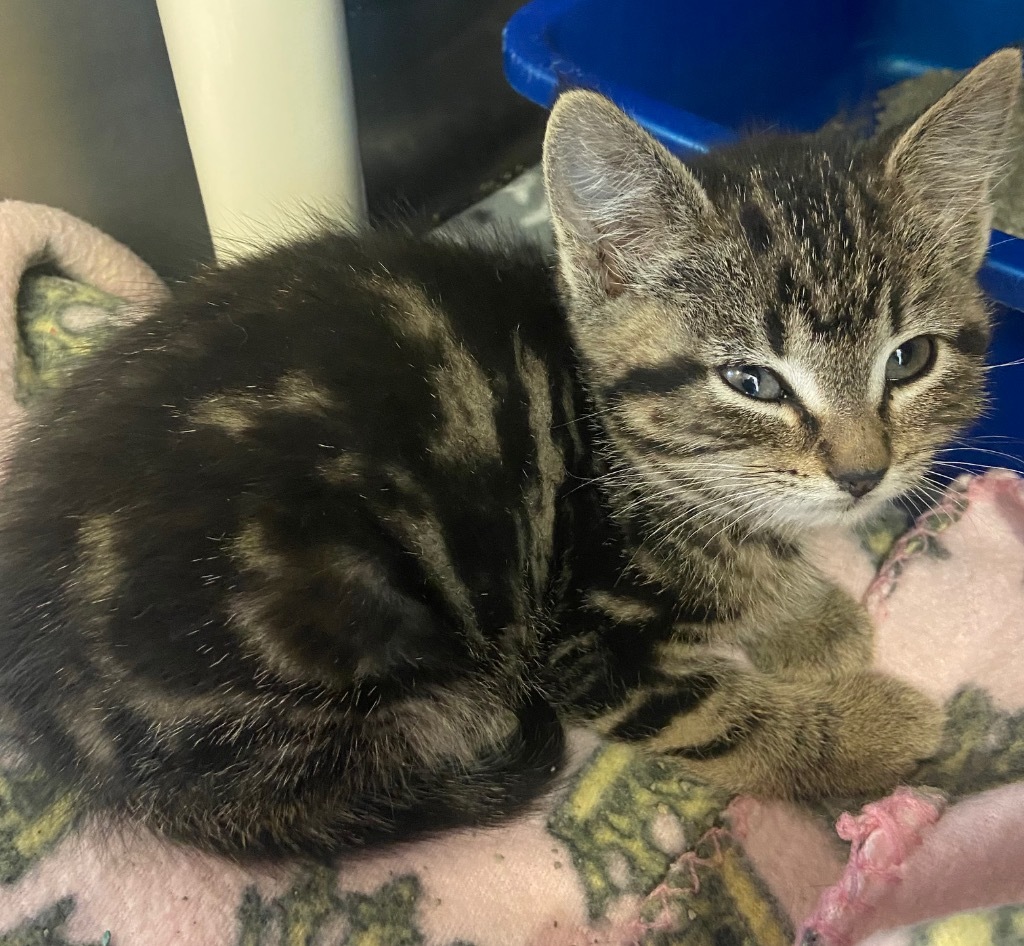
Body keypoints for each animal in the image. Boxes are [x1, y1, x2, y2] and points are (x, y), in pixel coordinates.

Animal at [0, 51, 1015, 860]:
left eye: (910, 359)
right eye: (752, 381)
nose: (862, 472)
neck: (627, 451)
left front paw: (810, 617)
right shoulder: (581, 641)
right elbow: (723, 718)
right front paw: (873, 727)